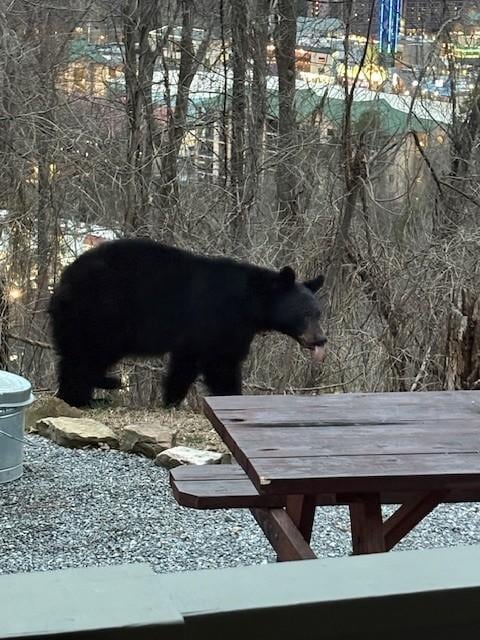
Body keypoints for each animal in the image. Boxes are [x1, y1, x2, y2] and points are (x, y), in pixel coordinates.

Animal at [49, 239, 327, 408]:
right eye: (305, 314)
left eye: (319, 313)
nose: (321, 339)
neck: (252, 303)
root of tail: (64, 280)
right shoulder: (220, 320)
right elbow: (221, 364)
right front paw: (230, 396)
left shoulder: (195, 337)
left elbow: (184, 366)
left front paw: (171, 400)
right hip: (104, 312)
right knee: (90, 355)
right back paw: (95, 390)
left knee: (73, 357)